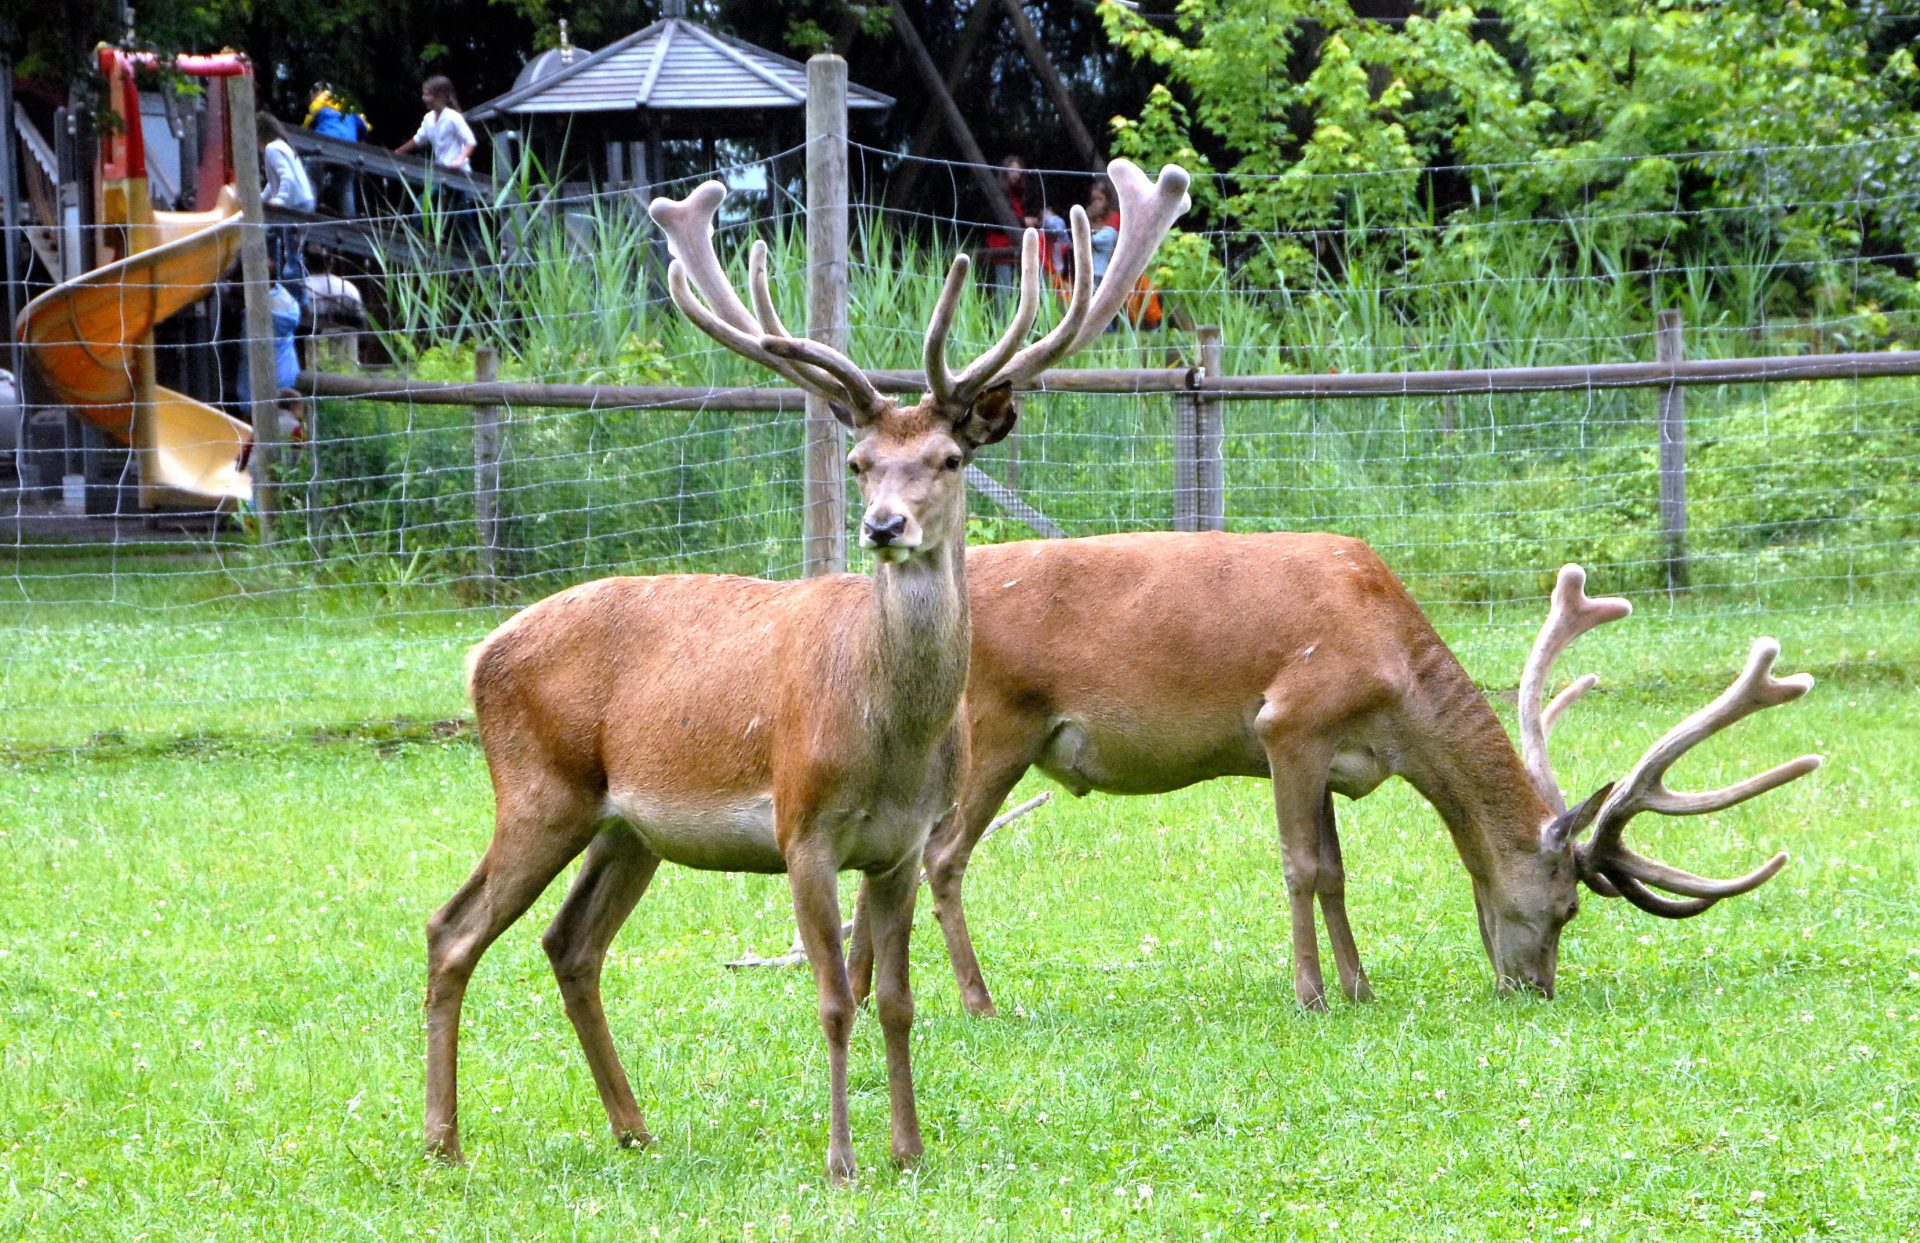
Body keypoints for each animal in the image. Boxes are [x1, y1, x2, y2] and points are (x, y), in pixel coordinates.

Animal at [424, 160, 1182, 1183]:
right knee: (452, 928)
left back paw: (632, 1124)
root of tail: (478, 654)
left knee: (569, 942)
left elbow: (894, 1000)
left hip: (629, 825)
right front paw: (842, 1160)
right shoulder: (802, 826)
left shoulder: (900, 844)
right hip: (540, 789)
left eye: (948, 457)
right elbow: (831, 999)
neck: (891, 736)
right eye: (858, 462)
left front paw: (909, 1149)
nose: (883, 526)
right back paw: (443, 1140)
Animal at [848, 534, 1820, 1014]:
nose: (1534, 989)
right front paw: (1313, 993)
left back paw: (861, 991)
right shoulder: (1291, 722)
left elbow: (1338, 874)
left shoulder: (1334, 754)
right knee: (942, 858)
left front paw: (1361, 986)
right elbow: (1302, 867)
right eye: (1567, 906)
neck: (1393, 688)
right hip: (995, 726)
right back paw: (978, 1000)